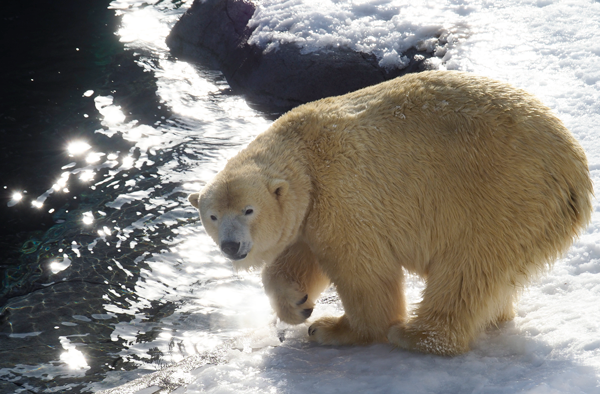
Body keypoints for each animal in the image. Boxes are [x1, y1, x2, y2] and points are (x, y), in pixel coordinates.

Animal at [190, 69, 592, 356]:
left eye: (248, 210)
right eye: (212, 216)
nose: (231, 246)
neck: (304, 154)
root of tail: (575, 171)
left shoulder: (345, 194)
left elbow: (364, 272)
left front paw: (332, 328)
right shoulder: (311, 211)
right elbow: (298, 255)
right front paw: (297, 305)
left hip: (503, 197)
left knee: (468, 270)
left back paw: (415, 335)